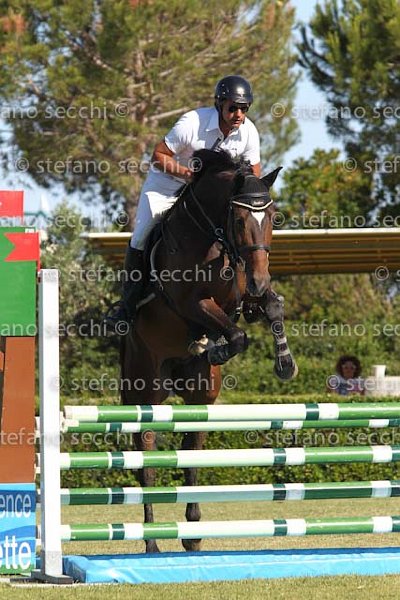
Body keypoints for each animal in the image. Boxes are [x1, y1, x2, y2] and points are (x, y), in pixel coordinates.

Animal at [120, 149, 297, 553]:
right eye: (240, 218)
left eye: (272, 218)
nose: (260, 277)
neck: (213, 237)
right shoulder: (192, 303)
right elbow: (236, 334)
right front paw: (216, 348)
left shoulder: (244, 298)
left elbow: (271, 307)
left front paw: (285, 363)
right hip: (145, 389)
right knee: (146, 455)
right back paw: (151, 543)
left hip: (199, 397)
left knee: (192, 451)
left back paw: (192, 533)